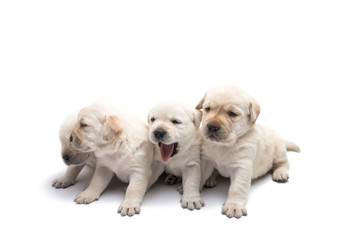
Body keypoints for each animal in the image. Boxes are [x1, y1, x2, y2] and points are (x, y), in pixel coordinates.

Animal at [196, 85, 302, 218]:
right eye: (208, 109)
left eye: (232, 114)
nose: (211, 126)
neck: (224, 145)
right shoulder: (206, 159)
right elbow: (200, 175)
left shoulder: (242, 166)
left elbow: (237, 187)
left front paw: (234, 206)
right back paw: (211, 178)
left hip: (279, 150)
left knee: (283, 163)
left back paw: (280, 173)